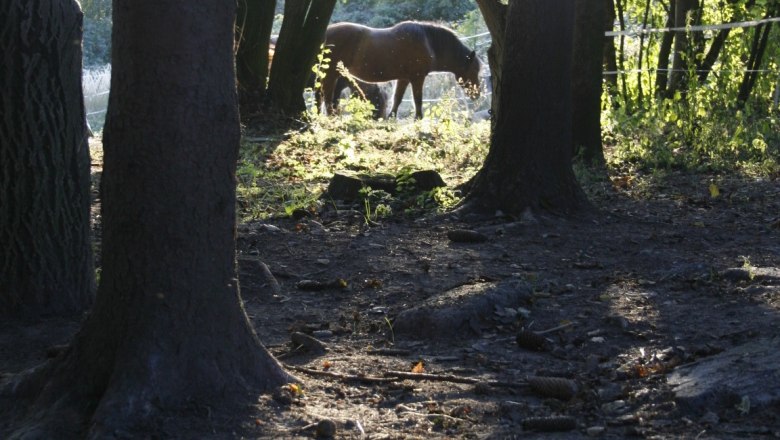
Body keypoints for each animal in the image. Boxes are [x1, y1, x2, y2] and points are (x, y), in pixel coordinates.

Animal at [320, 21, 481, 119]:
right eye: (474, 70)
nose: (477, 95)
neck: (427, 41)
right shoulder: (417, 78)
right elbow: (418, 100)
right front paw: (418, 119)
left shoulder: (403, 78)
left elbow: (397, 98)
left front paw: (390, 118)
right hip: (331, 74)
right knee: (327, 96)